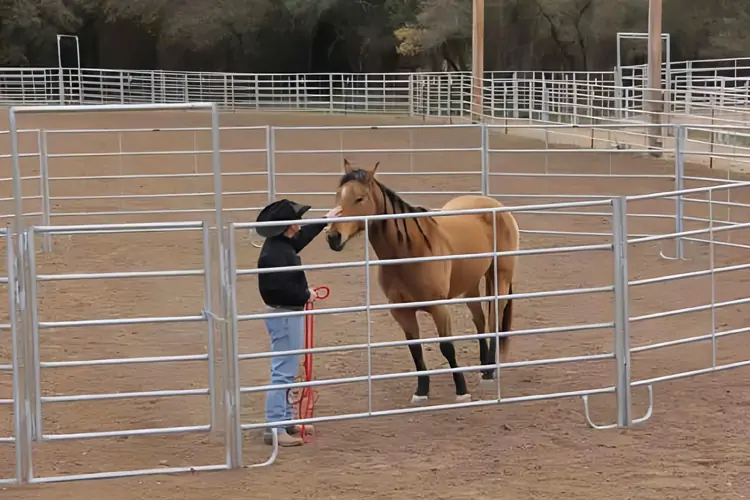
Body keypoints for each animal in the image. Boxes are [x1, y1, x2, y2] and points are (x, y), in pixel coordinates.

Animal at [328, 160, 524, 406]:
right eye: (338, 195)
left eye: (359, 198)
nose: (333, 237)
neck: (410, 251)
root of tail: (494, 205)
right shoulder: (401, 311)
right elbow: (415, 348)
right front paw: (421, 390)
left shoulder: (439, 308)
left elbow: (447, 347)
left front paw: (461, 390)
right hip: (470, 284)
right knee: (479, 320)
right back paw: (483, 366)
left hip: (500, 277)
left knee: (494, 320)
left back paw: (489, 372)